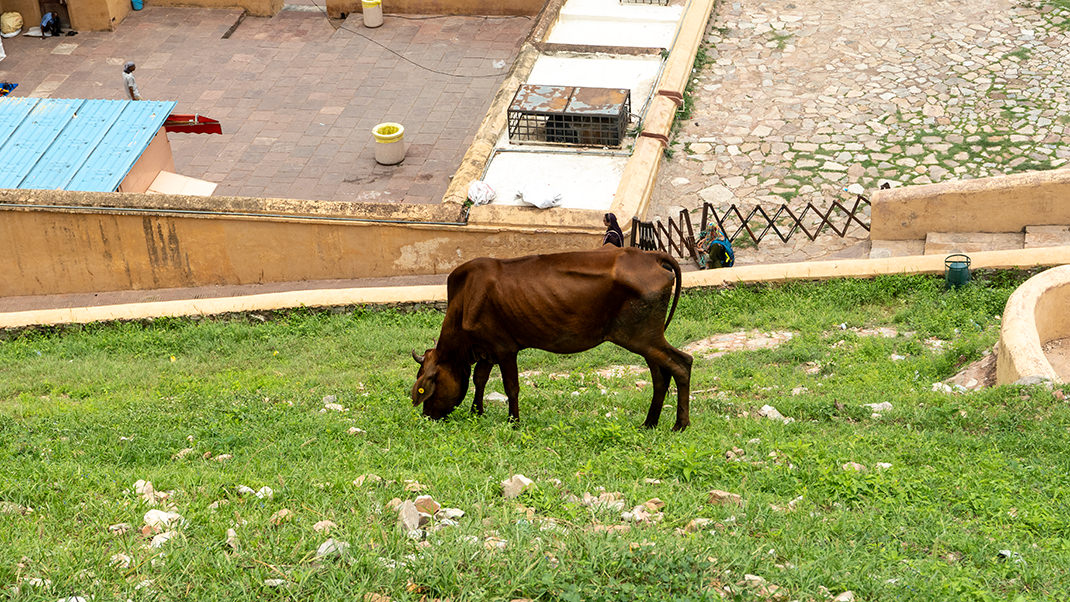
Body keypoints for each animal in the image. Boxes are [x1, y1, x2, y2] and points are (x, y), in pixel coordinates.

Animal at [408, 247, 693, 431]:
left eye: (424, 388)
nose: (427, 417)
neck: (465, 298)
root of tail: (650, 256)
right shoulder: (486, 350)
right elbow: (480, 380)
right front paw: (476, 412)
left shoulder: (505, 348)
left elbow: (511, 387)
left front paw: (514, 422)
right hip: (646, 338)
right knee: (660, 374)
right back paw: (649, 422)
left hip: (641, 337)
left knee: (682, 363)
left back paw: (679, 425)